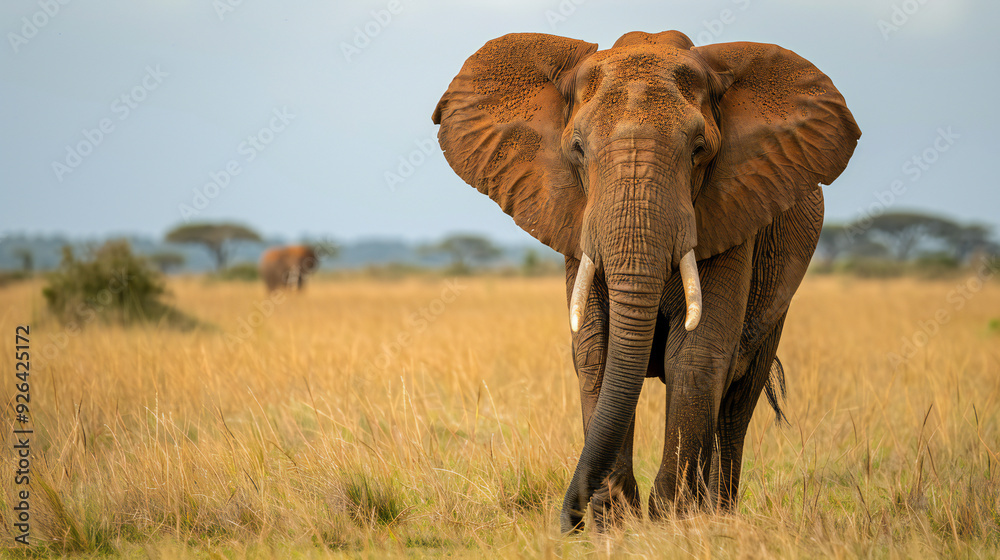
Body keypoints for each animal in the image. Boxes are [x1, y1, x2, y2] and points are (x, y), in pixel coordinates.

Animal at [432, 30, 860, 532]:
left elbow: (695, 355)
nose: (568, 520)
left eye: (699, 150)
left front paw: (670, 518)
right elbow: (596, 352)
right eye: (577, 149)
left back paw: (717, 511)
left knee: (738, 398)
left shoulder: (733, 211)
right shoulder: (576, 225)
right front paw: (613, 521)